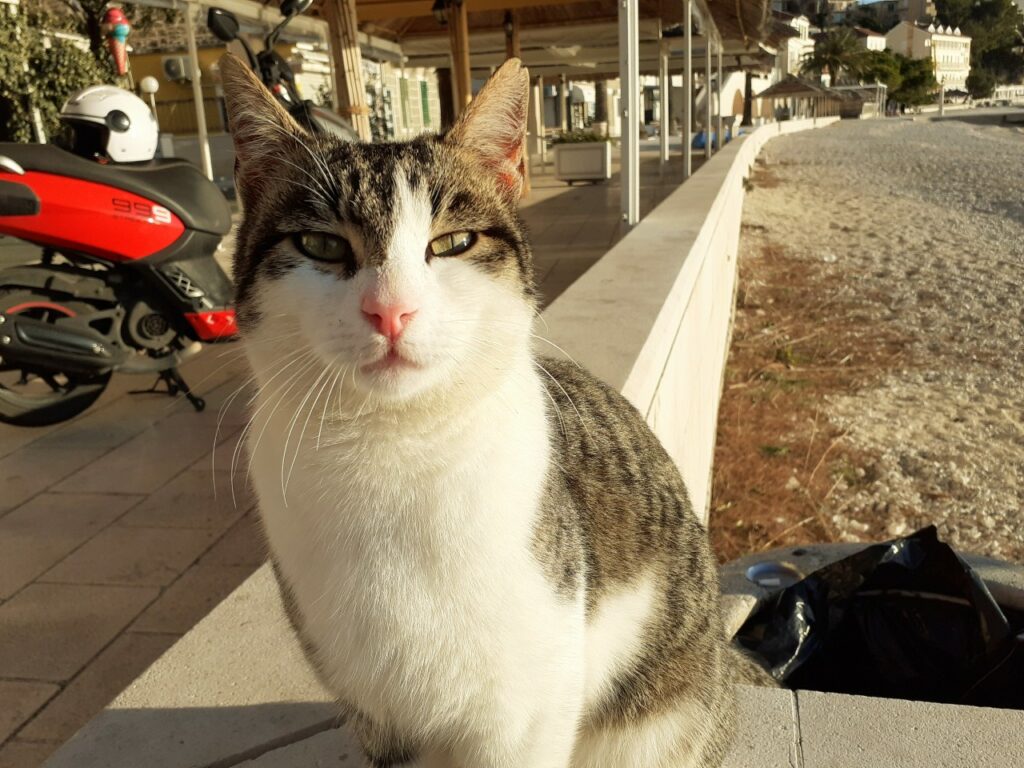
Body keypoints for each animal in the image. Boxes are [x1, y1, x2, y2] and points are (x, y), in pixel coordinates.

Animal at [218, 51, 745, 765]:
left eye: (453, 242)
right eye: (321, 246)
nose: (391, 311)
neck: (392, 449)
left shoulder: (524, 708)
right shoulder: (375, 711)